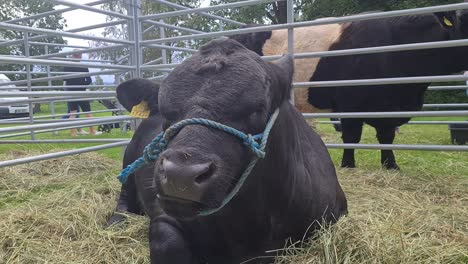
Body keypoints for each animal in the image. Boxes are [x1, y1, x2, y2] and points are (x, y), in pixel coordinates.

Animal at [229, 8, 468, 170]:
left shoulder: (388, 107)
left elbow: (387, 137)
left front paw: (390, 165)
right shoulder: (349, 102)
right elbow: (352, 136)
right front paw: (348, 164)